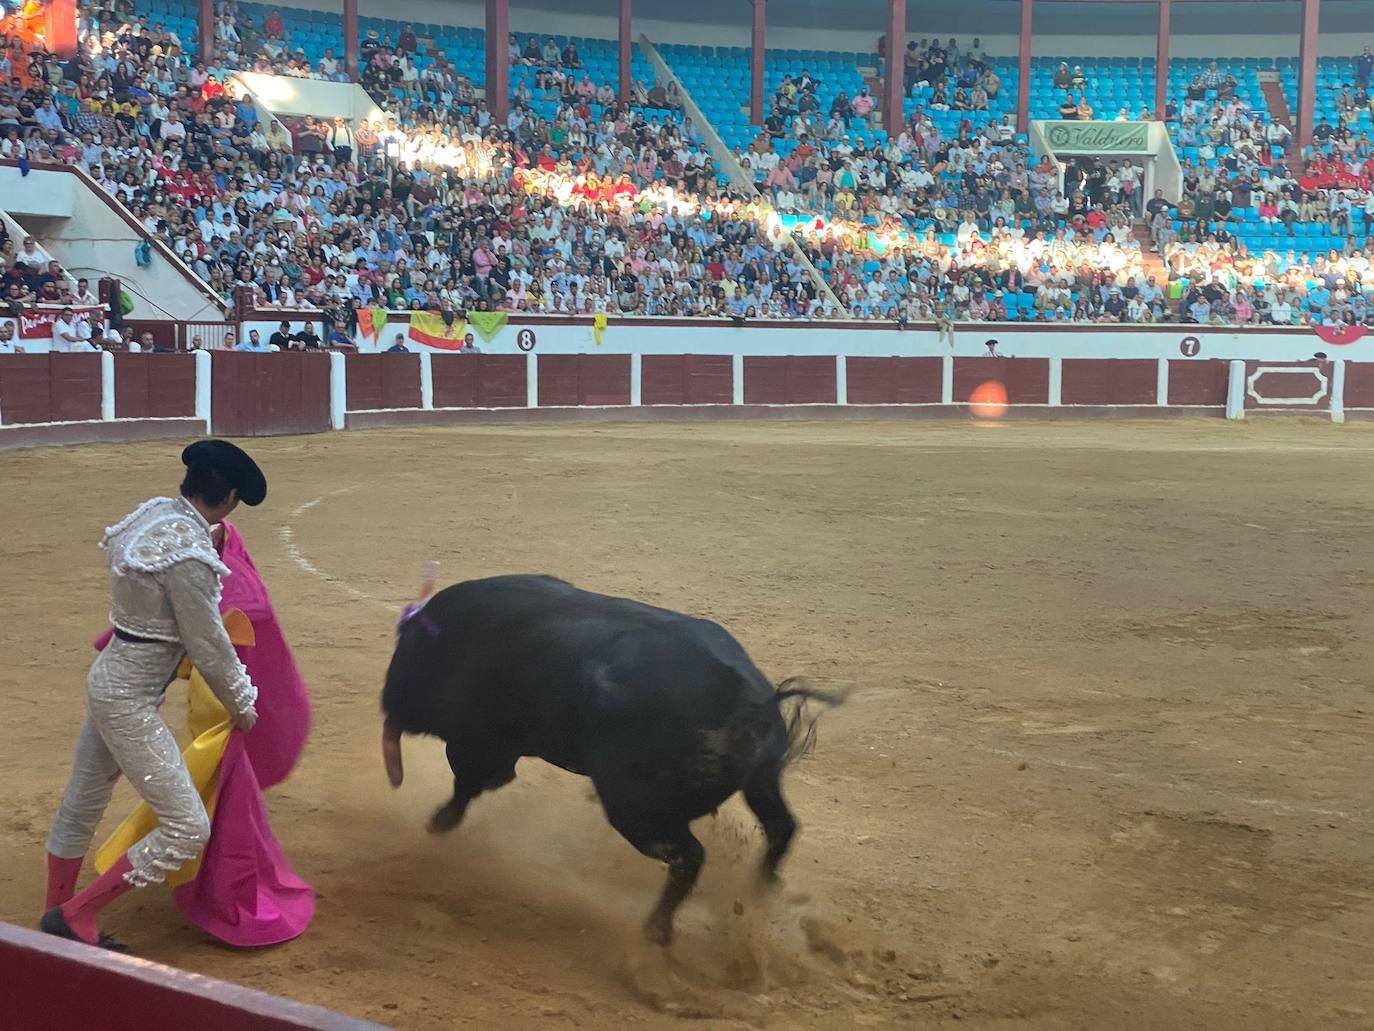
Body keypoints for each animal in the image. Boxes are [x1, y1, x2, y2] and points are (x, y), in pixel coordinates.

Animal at [381, 577, 840, 951]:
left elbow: (467, 783)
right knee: (780, 828)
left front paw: (438, 822)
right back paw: (761, 890)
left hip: (636, 809)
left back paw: (658, 930)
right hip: (760, 783)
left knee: (689, 856)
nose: (390, 700)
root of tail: (752, 705)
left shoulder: (480, 743)